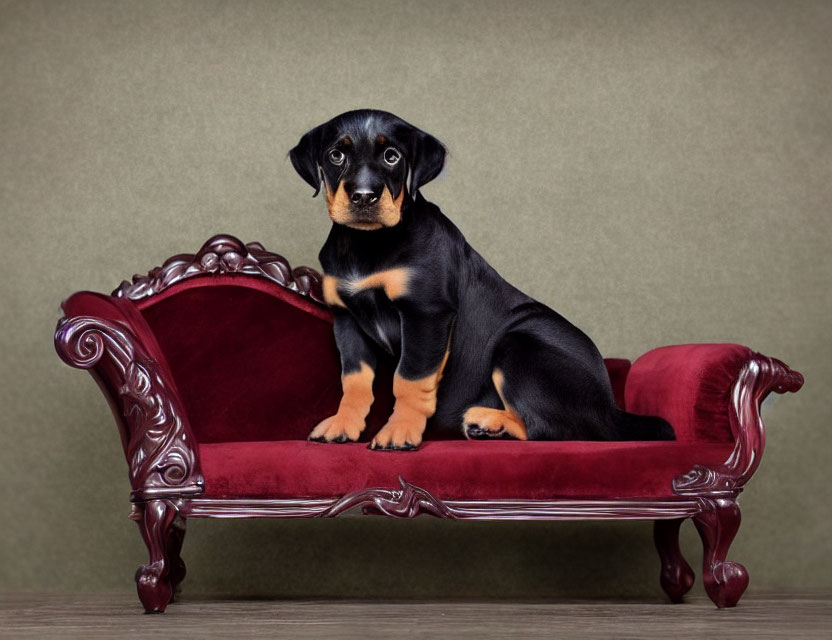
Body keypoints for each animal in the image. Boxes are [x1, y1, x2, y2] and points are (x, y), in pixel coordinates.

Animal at [290, 109, 672, 450]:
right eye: (336, 155)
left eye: (391, 156)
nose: (364, 197)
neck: (367, 244)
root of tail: (612, 408)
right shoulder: (346, 317)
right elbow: (354, 380)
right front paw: (343, 425)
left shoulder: (427, 312)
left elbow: (410, 378)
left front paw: (399, 432)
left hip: (519, 344)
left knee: (560, 430)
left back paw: (491, 421)